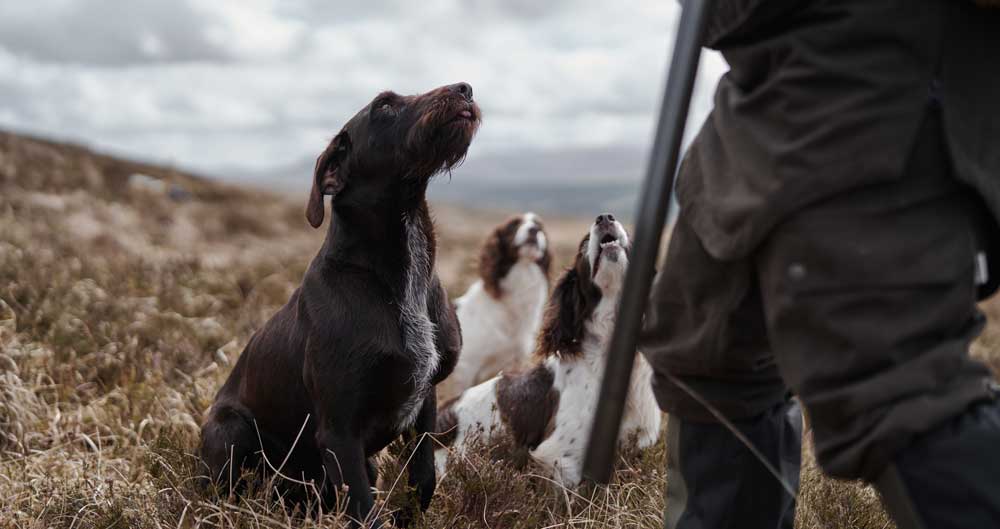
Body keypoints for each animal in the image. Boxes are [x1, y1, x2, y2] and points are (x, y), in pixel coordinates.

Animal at [200, 82, 480, 528]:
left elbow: (422, 480)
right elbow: (365, 511)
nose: (465, 89)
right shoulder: (339, 430)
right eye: (385, 106)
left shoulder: (424, 405)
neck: (394, 275)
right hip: (230, 429)